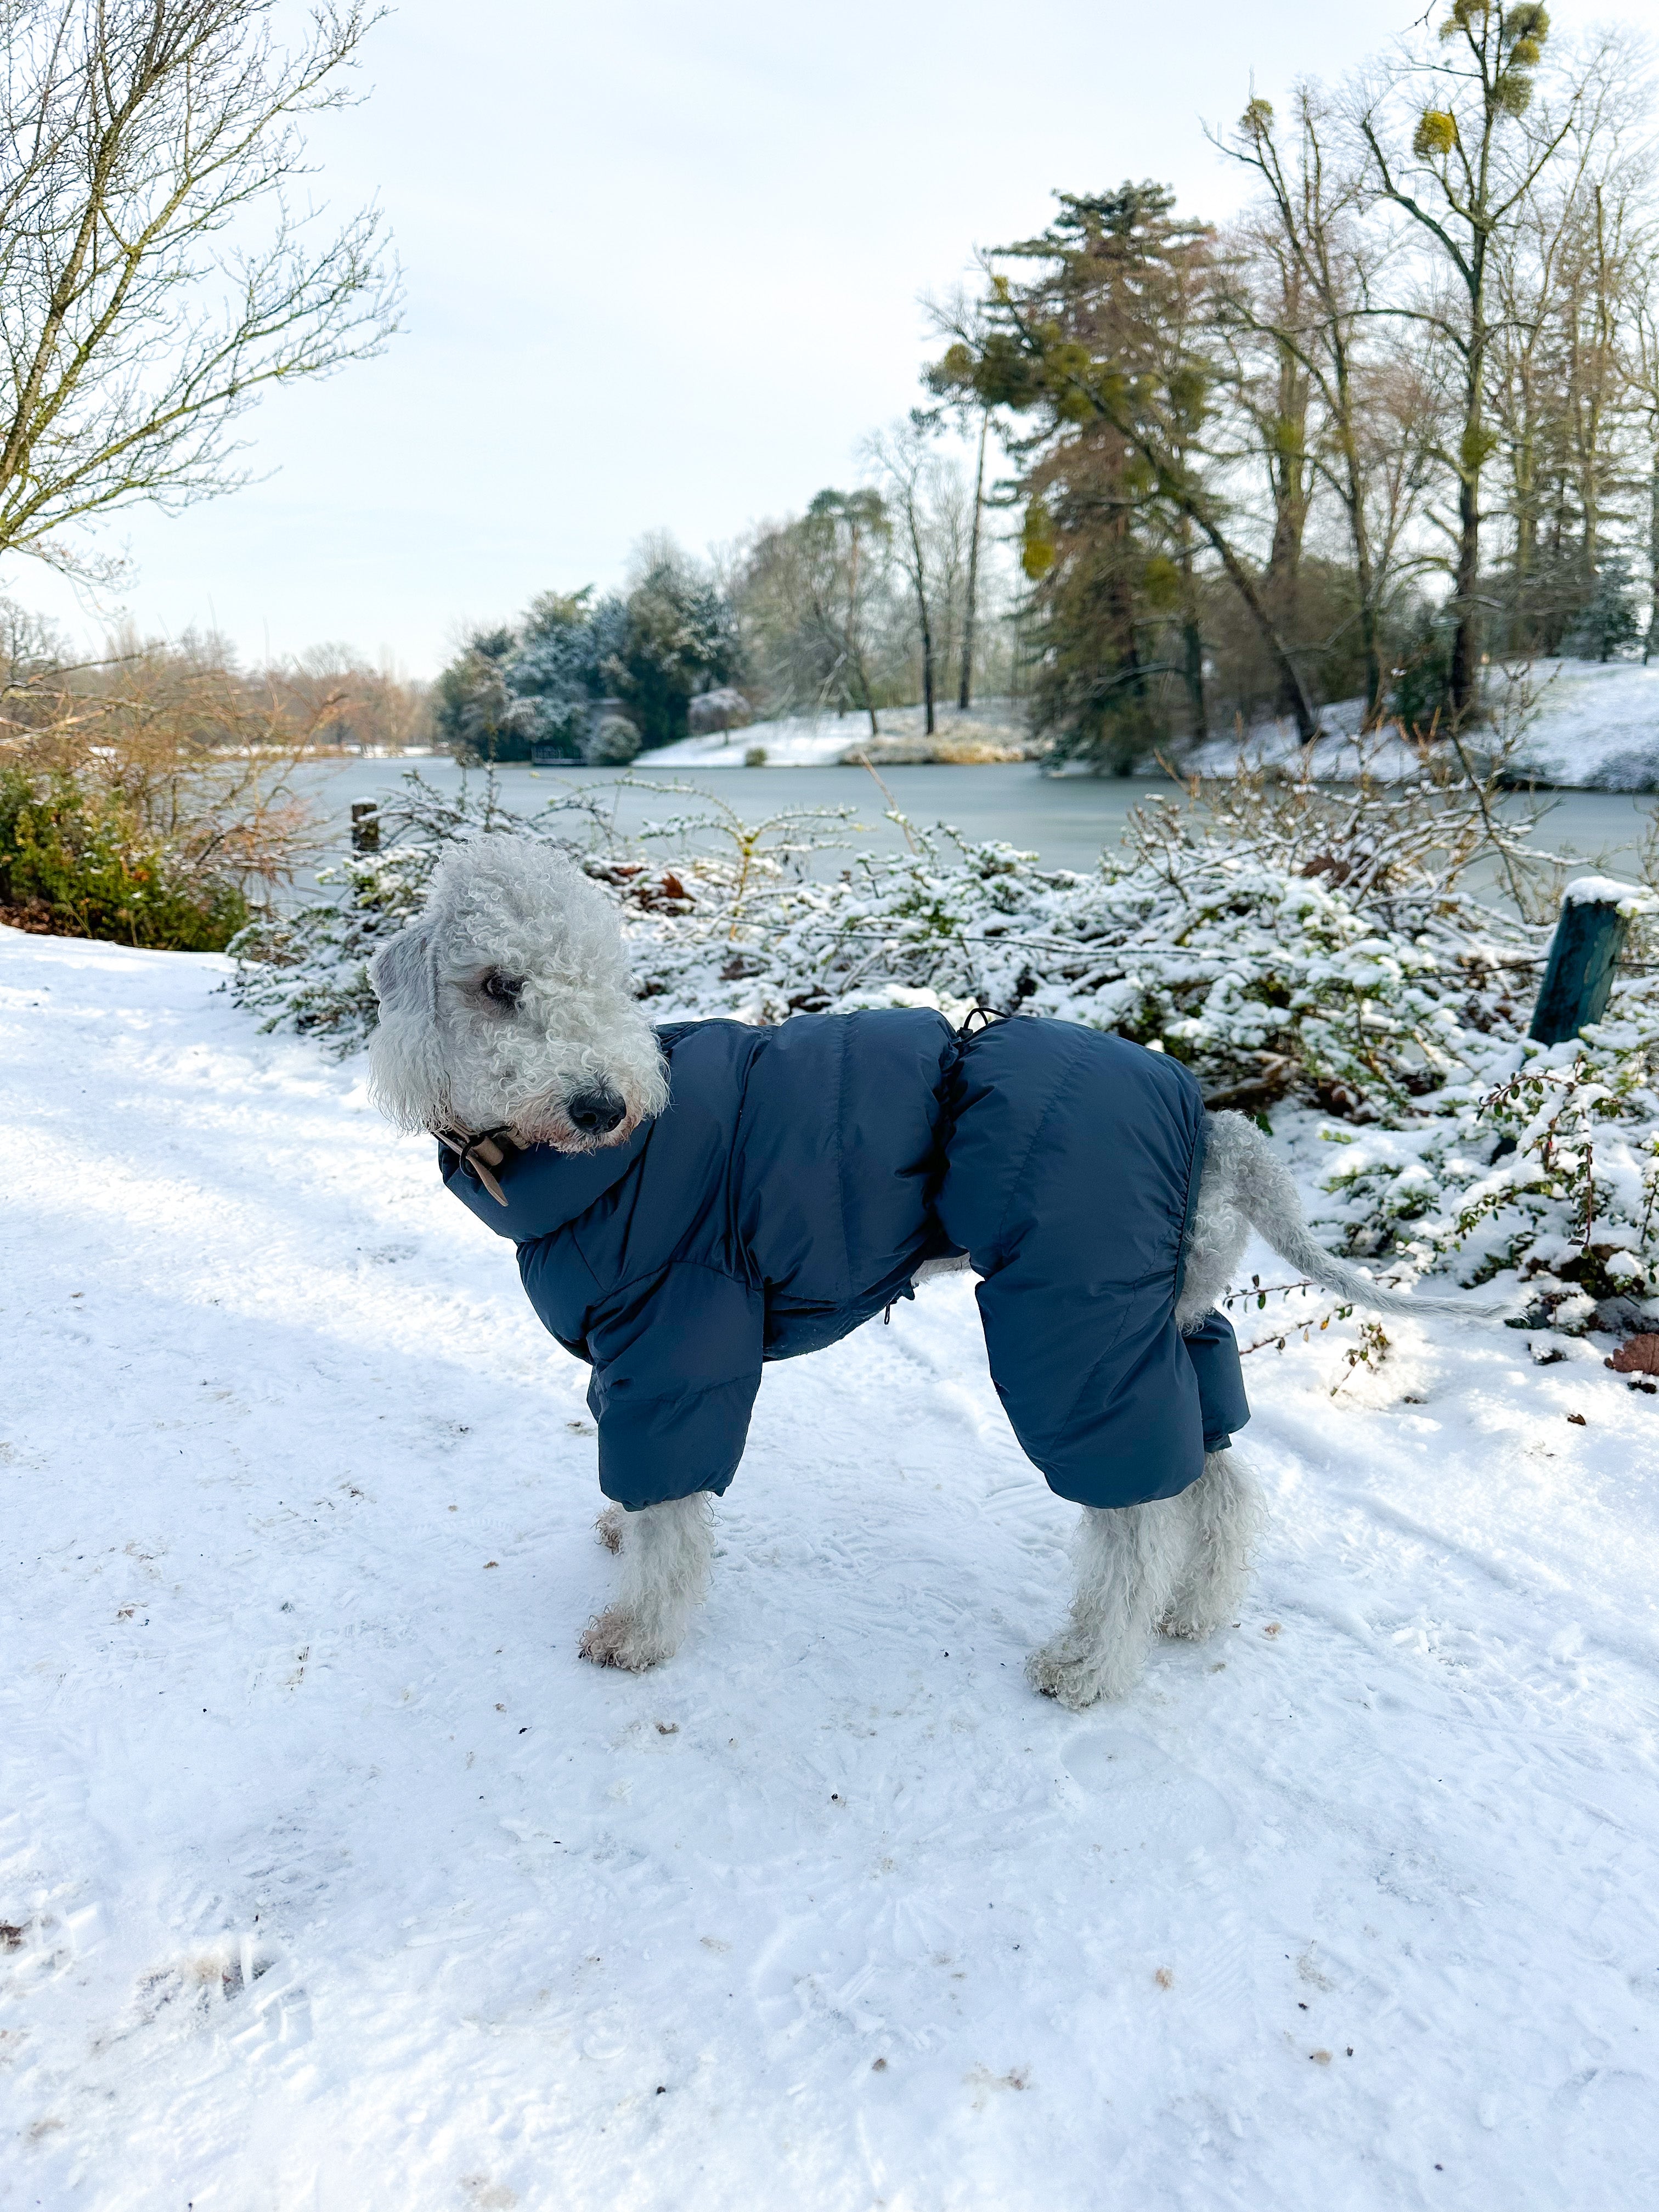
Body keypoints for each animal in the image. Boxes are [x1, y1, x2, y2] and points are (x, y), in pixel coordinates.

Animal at [367, 832, 1495, 1707]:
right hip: (1166, 1322)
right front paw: (620, 1530)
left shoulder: (677, 1338)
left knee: (1134, 1522)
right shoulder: (625, 1346)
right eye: (498, 986)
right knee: (1210, 1485)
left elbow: (674, 1508)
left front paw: (637, 1632)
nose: (604, 1105)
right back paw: (1194, 1615)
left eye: (603, 980)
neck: (576, 1169)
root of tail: (1220, 1131)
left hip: (1073, 1326)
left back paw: (1090, 1666)